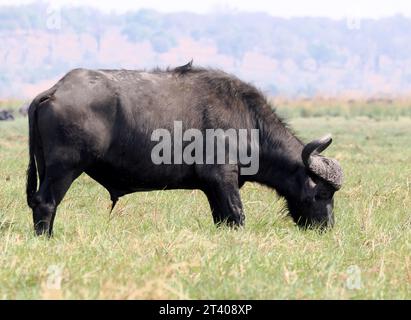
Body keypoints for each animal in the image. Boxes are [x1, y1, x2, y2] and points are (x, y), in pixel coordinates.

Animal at [26, 63, 344, 238]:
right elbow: (237, 216)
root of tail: (55, 90)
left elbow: (223, 220)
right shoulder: (223, 179)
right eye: (322, 193)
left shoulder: (213, 188)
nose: (327, 227)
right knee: (46, 202)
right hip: (63, 170)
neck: (249, 120)